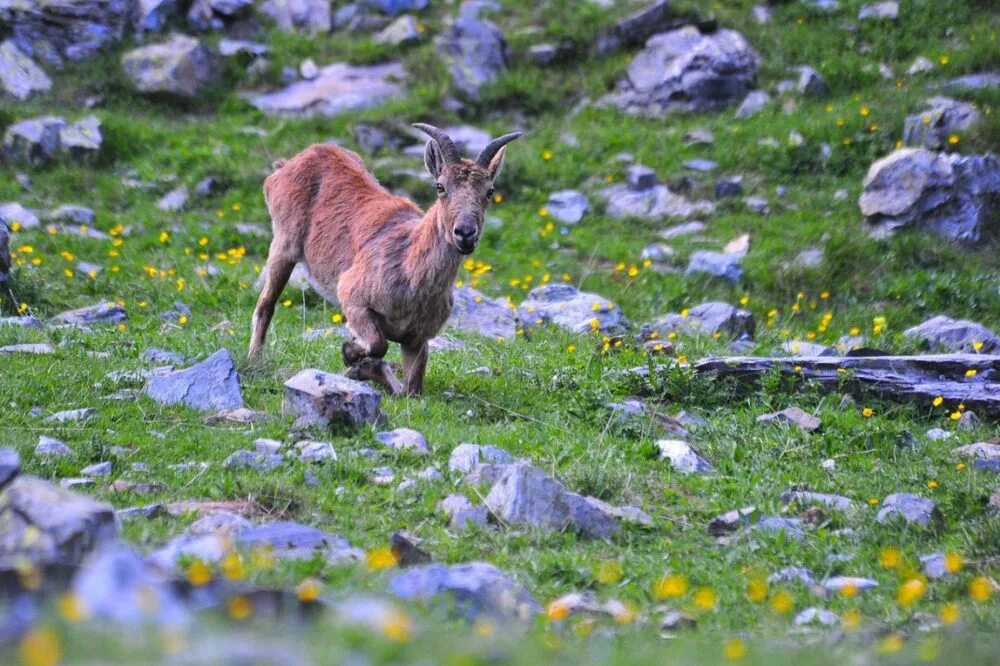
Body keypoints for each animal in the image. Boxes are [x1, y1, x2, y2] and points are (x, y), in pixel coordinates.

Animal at [250, 123, 524, 394]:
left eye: (490, 191)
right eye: (440, 186)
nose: (465, 233)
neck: (410, 272)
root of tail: (288, 164)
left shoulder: (417, 339)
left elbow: (410, 389)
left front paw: (362, 367)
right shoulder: (353, 297)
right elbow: (377, 343)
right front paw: (350, 354)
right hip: (284, 244)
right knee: (265, 304)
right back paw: (254, 361)